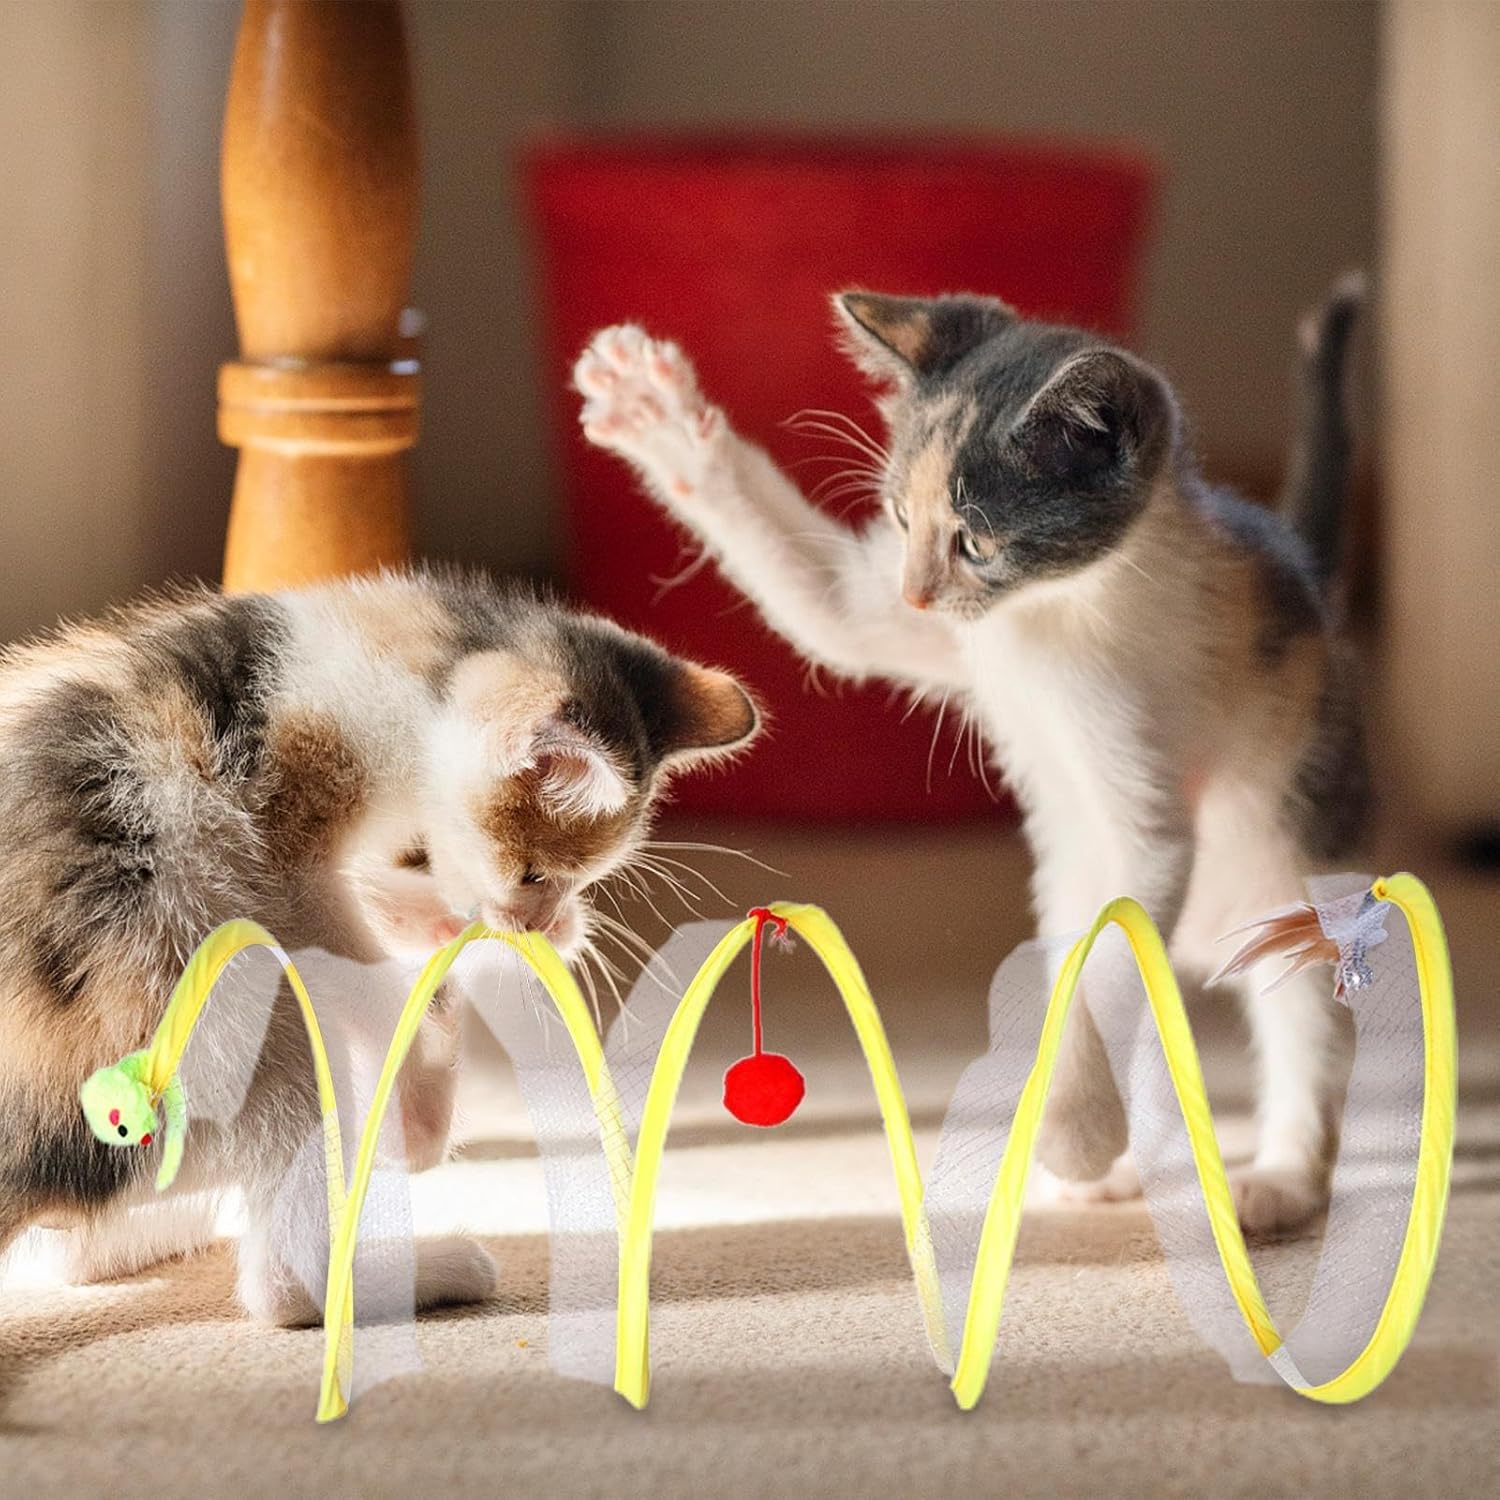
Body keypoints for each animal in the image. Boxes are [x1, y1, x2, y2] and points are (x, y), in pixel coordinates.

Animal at [0, 570, 750, 1314]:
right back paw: (425, 1202)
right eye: (534, 873)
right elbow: (340, 945)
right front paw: (418, 1025)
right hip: (201, 990)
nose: (541, 923)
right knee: (287, 1276)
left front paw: (440, 920)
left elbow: (372, 887)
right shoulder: (286, 850)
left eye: (579, 879)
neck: (411, 661)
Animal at [576, 279, 1374, 1230]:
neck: (1052, 613)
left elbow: (1112, 953)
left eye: (977, 541)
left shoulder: (1149, 814)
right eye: (899, 518)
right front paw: (654, 412)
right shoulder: (923, 629)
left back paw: (1278, 1182)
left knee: (1305, 1029)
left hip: (1293, 870)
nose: (918, 594)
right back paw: (1126, 1169)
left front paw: (1073, 1129)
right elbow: (825, 604)